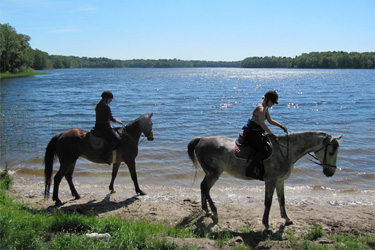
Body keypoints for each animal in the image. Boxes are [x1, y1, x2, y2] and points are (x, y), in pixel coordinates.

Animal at [187, 131, 342, 230]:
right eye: (331, 152)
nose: (330, 172)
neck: (284, 152)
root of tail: (201, 139)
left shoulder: (280, 181)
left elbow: (282, 200)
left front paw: (286, 219)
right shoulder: (270, 181)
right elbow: (268, 202)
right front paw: (266, 224)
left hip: (210, 173)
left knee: (203, 187)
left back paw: (206, 210)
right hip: (213, 174)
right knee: (205, 188)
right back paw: (214, 211)